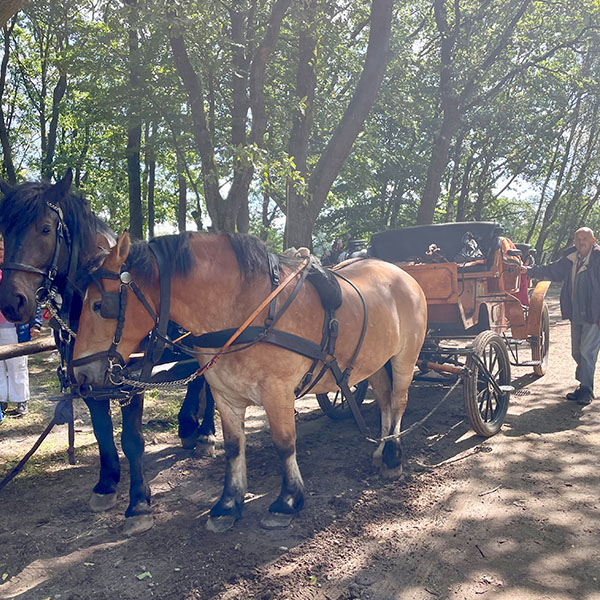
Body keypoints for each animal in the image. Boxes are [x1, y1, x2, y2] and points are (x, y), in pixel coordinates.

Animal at [71, 231, 426, 536]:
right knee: (384, 400)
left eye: (99, 306)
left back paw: (393, 457)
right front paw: (228, 504)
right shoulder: (225, 394)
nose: (80, 375)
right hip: (373, 362)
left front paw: (287, 501)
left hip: (404, 358)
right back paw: (381, 450)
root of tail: (403, 275)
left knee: (398, 401)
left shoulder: (278, 391)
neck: (245, 309)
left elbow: (284, 443)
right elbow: (233, 446)